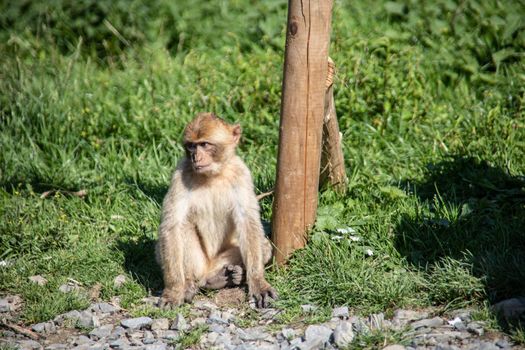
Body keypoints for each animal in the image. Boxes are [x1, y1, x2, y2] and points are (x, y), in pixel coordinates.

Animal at [157, 113, 276, 308]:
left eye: (205, 144)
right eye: (191, 146)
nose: (195, 158)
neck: (213, 175)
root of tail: (208, 270)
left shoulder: (242, 173)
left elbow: (248, 223)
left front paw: (258, 282)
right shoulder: (180, 173)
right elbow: (171, 226)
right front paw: (174, 290)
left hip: (221, 261)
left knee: (264, 245)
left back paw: (230, 277)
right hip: (198, 264)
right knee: (182, 227)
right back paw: (188, 283)